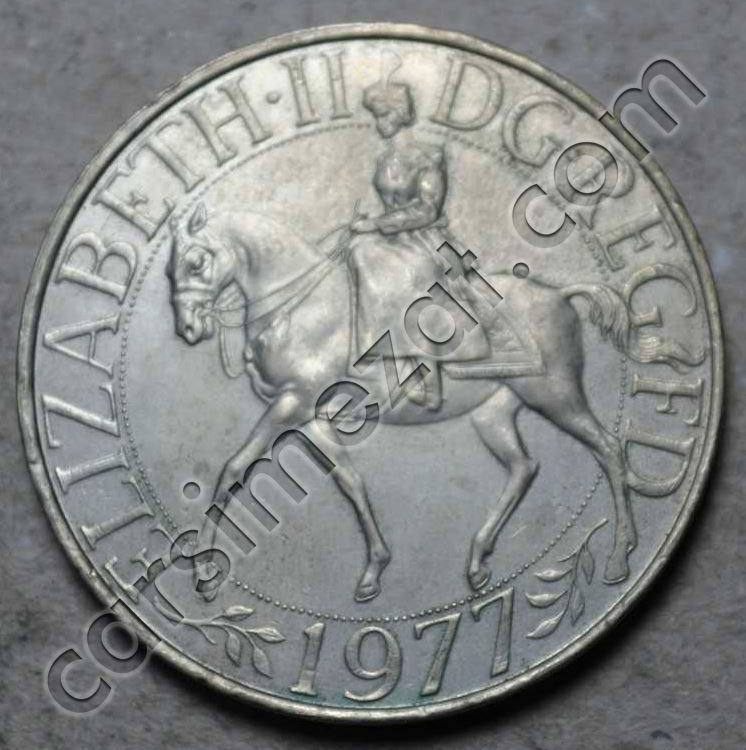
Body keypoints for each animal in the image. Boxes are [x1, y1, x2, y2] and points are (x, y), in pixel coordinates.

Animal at [167, 203, 639, 603]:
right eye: (170, 269)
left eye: (196, 262)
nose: (188, 329)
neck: (303, 308)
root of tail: (560, 294)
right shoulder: (314, 420)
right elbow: (351, 483)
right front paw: (374, 570)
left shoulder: (291, 404)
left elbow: (232, 470)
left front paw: (205, 573)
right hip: (494, 414)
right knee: (524, 467)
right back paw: (476, 561)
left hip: (556, 395)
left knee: (607, 448)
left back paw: (619, 556)